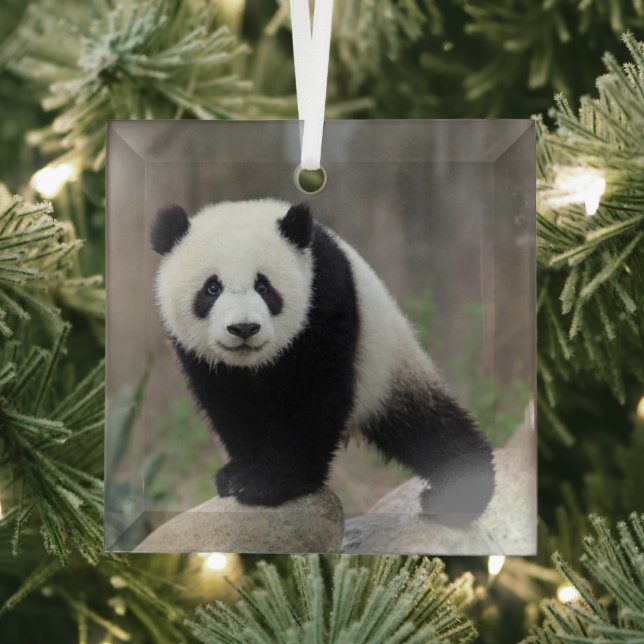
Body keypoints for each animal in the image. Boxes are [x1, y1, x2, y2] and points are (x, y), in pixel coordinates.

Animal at [151, 199, 495, 520]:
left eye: (264, 286)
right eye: (212, 288)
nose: (244, 328)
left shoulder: (325, 297)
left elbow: (314, 398)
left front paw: (271, 483)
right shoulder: (203, 358)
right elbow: (230, 405)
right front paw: (238, 475)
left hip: (388, 365)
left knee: (429, 426)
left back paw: (460, 494)